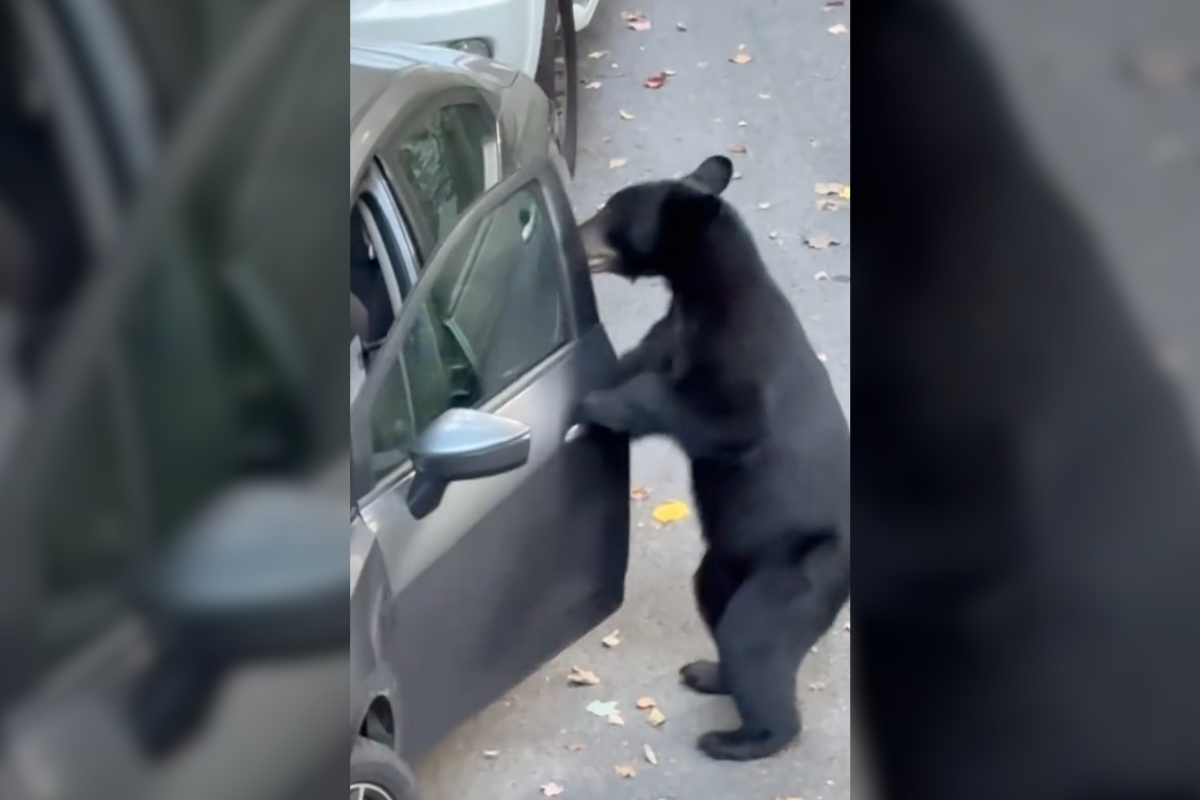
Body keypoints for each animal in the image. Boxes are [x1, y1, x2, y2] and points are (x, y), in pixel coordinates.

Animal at [575, 155, 852, 762]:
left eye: (611, 212)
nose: (578, 236)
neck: (700, 297)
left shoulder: (745, 368)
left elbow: (708, 413)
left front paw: (598, 403)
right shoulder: (667, 333)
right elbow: (632, 362)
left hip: (797, 573)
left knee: (754, 639)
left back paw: (739, 737)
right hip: (724, 565)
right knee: (718, 610)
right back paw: (709, 673)